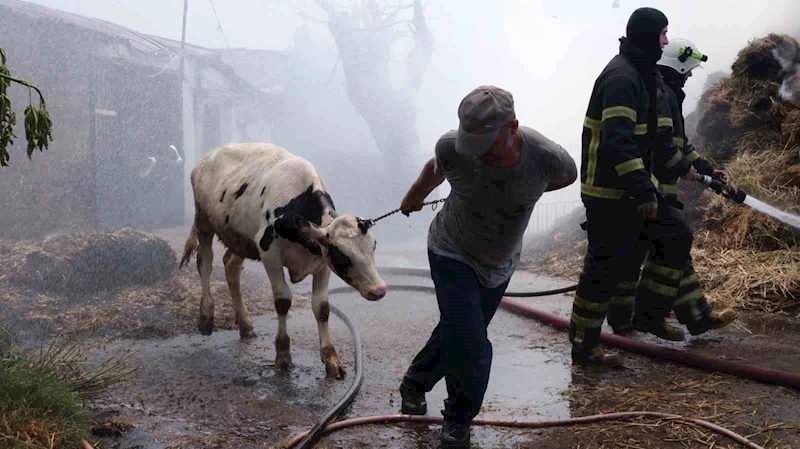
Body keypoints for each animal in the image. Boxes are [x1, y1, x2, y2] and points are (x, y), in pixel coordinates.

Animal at [177, 141, 388, 378]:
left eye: (373, 246)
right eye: (342, 255)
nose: (379, 290)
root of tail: (209, 156)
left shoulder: (322, 262)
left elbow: (322, 307)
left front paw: (331, 360)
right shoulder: (269, 254)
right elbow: (283, 301)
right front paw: (283, 357)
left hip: (241, 237)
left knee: (231, 266)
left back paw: (245, 324)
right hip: (203, 219)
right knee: (205, 263)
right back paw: (206, 317)